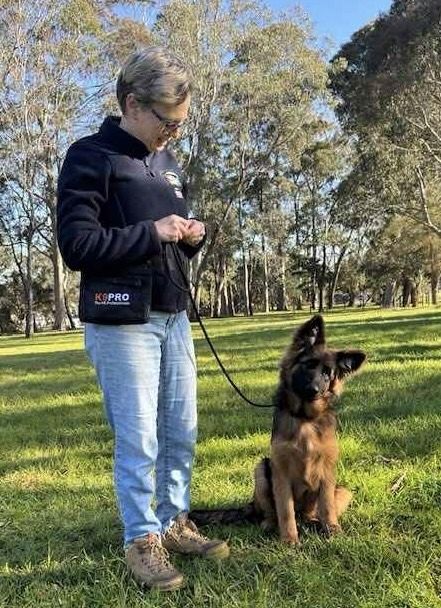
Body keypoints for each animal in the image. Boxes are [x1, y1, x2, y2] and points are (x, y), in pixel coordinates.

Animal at [190, 315, 366, 544]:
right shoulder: (280, 472)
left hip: (343, 490)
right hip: (262, 470)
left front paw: (332, 531)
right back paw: (270, 525)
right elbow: (285, 510)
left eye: (327, 374)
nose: (314, 390)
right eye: (309, 365)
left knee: (312, 512)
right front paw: (290, 540)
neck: (304, 419)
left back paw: (313, 521)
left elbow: (327, 507)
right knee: (273, 513)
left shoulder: (328, 471)